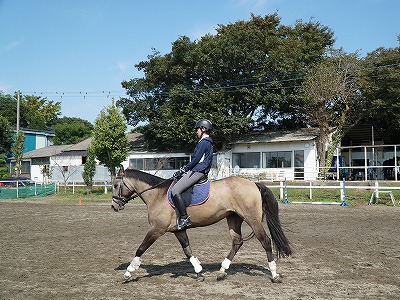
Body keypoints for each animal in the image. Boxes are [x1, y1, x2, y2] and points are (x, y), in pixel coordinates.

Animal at [111, 165, 292, 282]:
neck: (157, 195)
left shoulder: (156, 229)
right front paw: (198, 272)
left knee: (265, 241)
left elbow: (140, 249)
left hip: (252, 219)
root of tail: (253, 183)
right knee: (237, 242)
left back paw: (274, 274)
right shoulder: (178, 230)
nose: (114, 206)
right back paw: (222, 271)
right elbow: (187, 251)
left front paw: (128, 272)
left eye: (115, 185)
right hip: (233, 218)